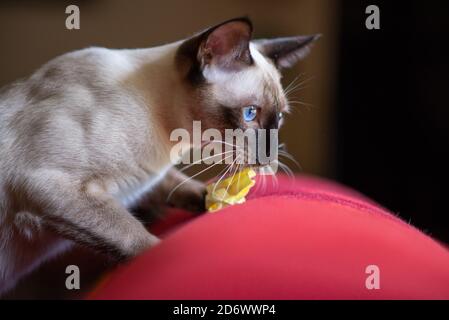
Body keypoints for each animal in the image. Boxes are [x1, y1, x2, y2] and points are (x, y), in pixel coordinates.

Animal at [0, 16, 318, 292]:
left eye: (280, 118)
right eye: (250, 113)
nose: (269, 159)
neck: (168, 143)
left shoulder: (144, 181)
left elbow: (179, 186)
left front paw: (214, 200)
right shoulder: (54, 186)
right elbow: (140, 241)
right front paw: (167, 263)